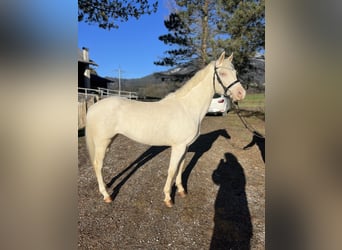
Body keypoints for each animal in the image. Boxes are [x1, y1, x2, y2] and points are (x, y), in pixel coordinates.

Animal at [85, 51, 246, 207]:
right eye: (223, 74)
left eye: (235, 72)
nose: (241, 94)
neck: (187, 108)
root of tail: (93, 107)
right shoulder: (178, 146)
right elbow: (172, 170)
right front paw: (168, 198)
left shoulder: (185, 147)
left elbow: (180, 167)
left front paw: (181, 190)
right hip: (102, 142)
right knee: (98, 164)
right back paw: (106, 195)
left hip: (110, 141)